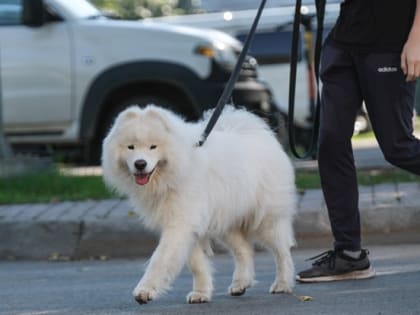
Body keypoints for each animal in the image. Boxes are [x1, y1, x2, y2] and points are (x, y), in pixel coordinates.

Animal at [102, 106, 296, 306]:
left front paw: (145, 290)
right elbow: (196, 264)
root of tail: (260, 135)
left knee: (282, 252)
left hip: (266, 221)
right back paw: (240, 283)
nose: (140, 164)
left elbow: (160, 258)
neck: (175, 173)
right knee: (244, 250)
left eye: (153, 146)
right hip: (225, 223)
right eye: (130, 147)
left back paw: (282, 283)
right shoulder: (189, 227)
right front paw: (201, 293)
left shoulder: (180, 223)